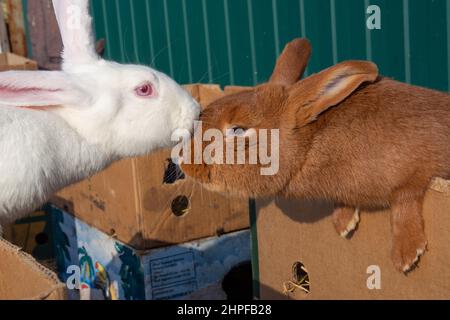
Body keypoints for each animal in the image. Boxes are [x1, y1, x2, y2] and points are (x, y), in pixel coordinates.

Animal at [181, 38, 450, 272]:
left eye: (237, 130)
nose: (185, 162)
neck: (310, 144)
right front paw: (343, 224)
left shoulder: (419, 168)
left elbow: (405, 199)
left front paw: (406, 255)